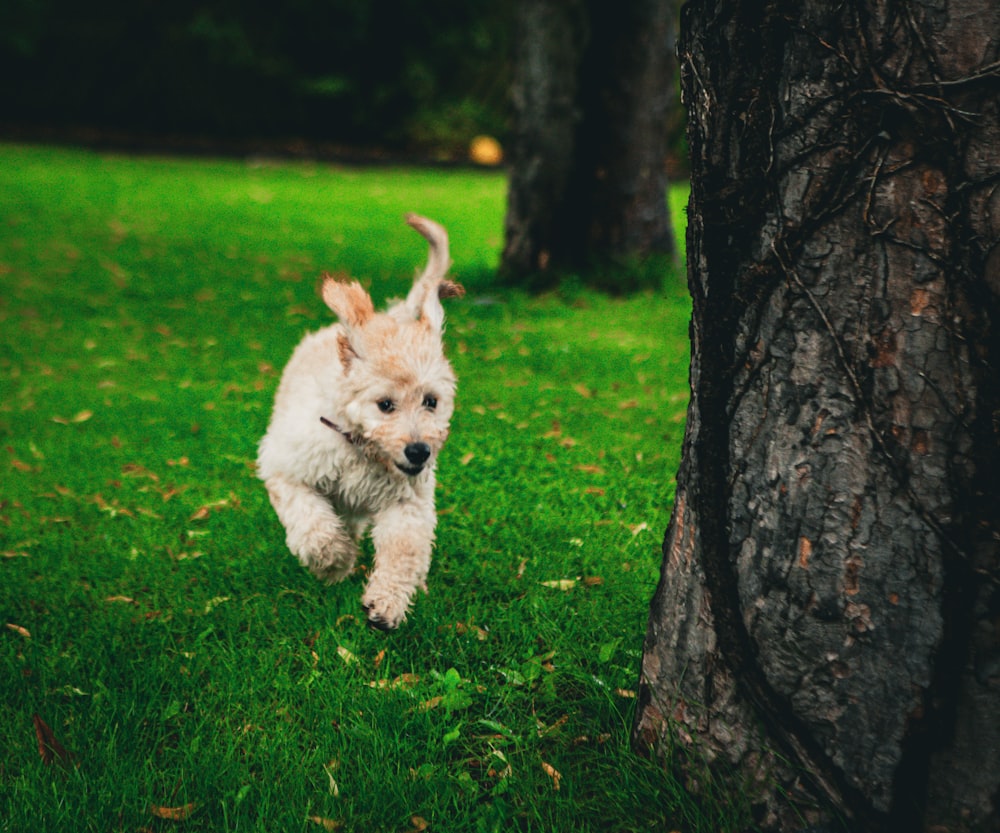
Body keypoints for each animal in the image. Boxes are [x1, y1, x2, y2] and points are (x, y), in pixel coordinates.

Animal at [256, 214, 462, 632]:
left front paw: (387, 604)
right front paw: (334, 561)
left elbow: (403, 551)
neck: (359, 448)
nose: (419, 452)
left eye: (431, 401)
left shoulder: (407, 504)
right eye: (385, 405)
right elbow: (314, 527)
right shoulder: (286, 471)